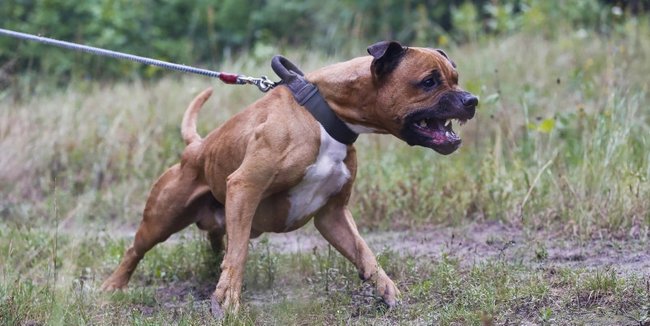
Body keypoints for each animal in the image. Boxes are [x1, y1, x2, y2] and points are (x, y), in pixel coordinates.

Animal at [101, 40, 476, 316]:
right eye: (428, 81)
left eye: (455, 78)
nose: (471, 100)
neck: (325, 114)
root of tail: (197, 146)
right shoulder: (245, 186)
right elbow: (238, 255)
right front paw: (227, 302)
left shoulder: (333, 215)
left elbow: (365, 253)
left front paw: (388, 290)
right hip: (161, 219)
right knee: (135, 250)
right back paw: (112, 287)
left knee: (216, 239)